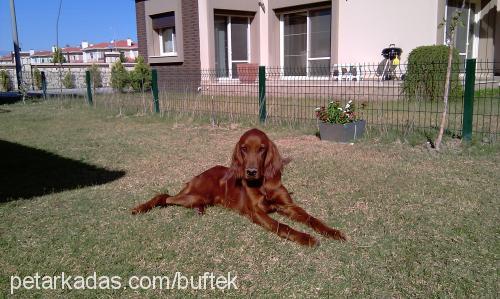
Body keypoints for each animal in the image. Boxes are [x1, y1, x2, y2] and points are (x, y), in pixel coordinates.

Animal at [131, 127, 346, 247]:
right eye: (244, 148)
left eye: (261, 149)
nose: (250, 171)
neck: (262, 184)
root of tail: (198, 175)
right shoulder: (257, 212)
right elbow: (282, 226)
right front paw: (306, 238)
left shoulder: (288, 206)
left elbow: (312, 218)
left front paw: (332, 231)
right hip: (195, 195)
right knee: (164, 196)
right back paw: (140, 208)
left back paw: (200, 210)